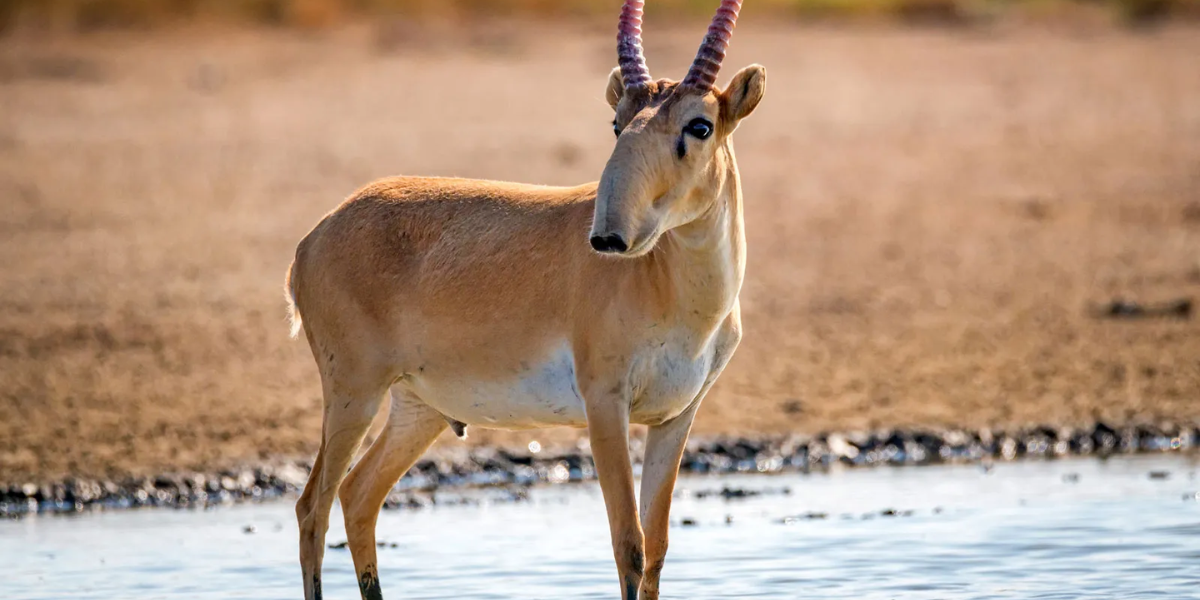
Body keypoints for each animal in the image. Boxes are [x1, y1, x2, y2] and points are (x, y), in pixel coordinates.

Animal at [285, 2, 763, 597]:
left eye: (700, 125)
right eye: (617, 122)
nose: (609, 238)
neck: (670, 288)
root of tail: (313, 239)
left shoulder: (675, 417)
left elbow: (655, 549)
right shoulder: (605, 405)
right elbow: (628, 544)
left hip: (418, 409)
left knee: (357, 497)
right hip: (354, 393)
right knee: (313, 507)